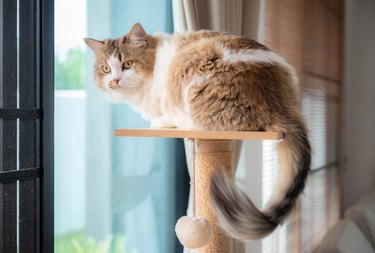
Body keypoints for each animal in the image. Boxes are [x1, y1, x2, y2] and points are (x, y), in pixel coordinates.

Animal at [84, 22, 312, 240]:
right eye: (106, 69)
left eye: (127, 64)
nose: (114, 81)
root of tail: (276, 102)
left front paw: (160, 121)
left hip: (194, 69)